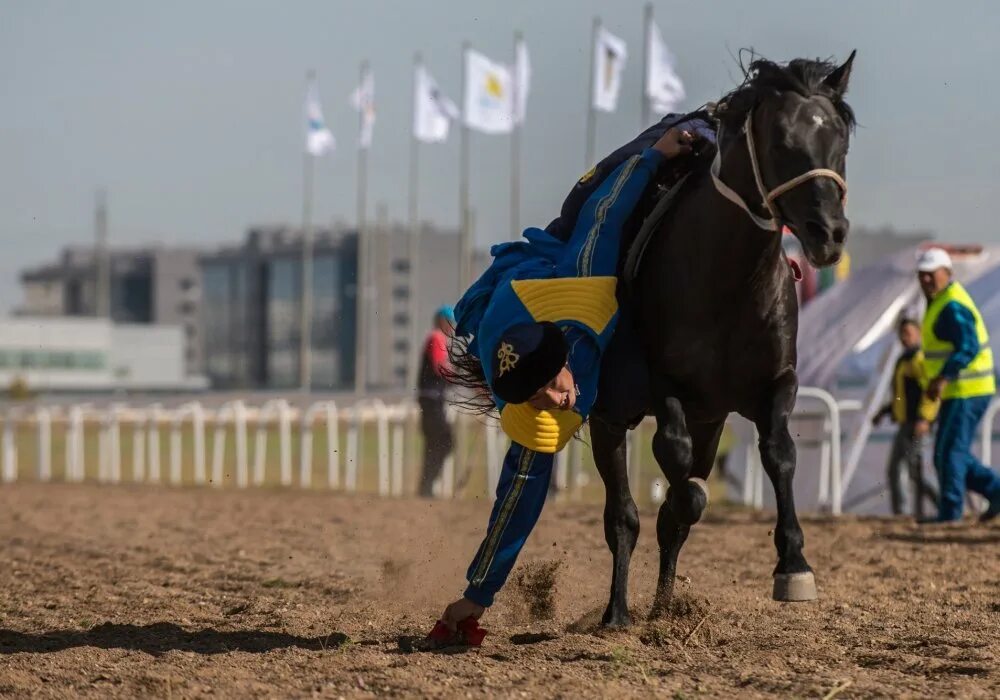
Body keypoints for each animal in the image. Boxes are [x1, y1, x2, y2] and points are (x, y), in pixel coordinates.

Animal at [588, 52, 856, 628]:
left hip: (710, 419)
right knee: (622, 515)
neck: (728, 282)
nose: (828, 232)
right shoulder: (663, 382)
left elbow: (778, 453)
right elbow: (673, 462)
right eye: (781, 141)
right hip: (610, 417)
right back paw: (618, 612)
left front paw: (794, 565)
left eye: (840, 141)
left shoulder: (775, 382)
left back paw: (663, 607)